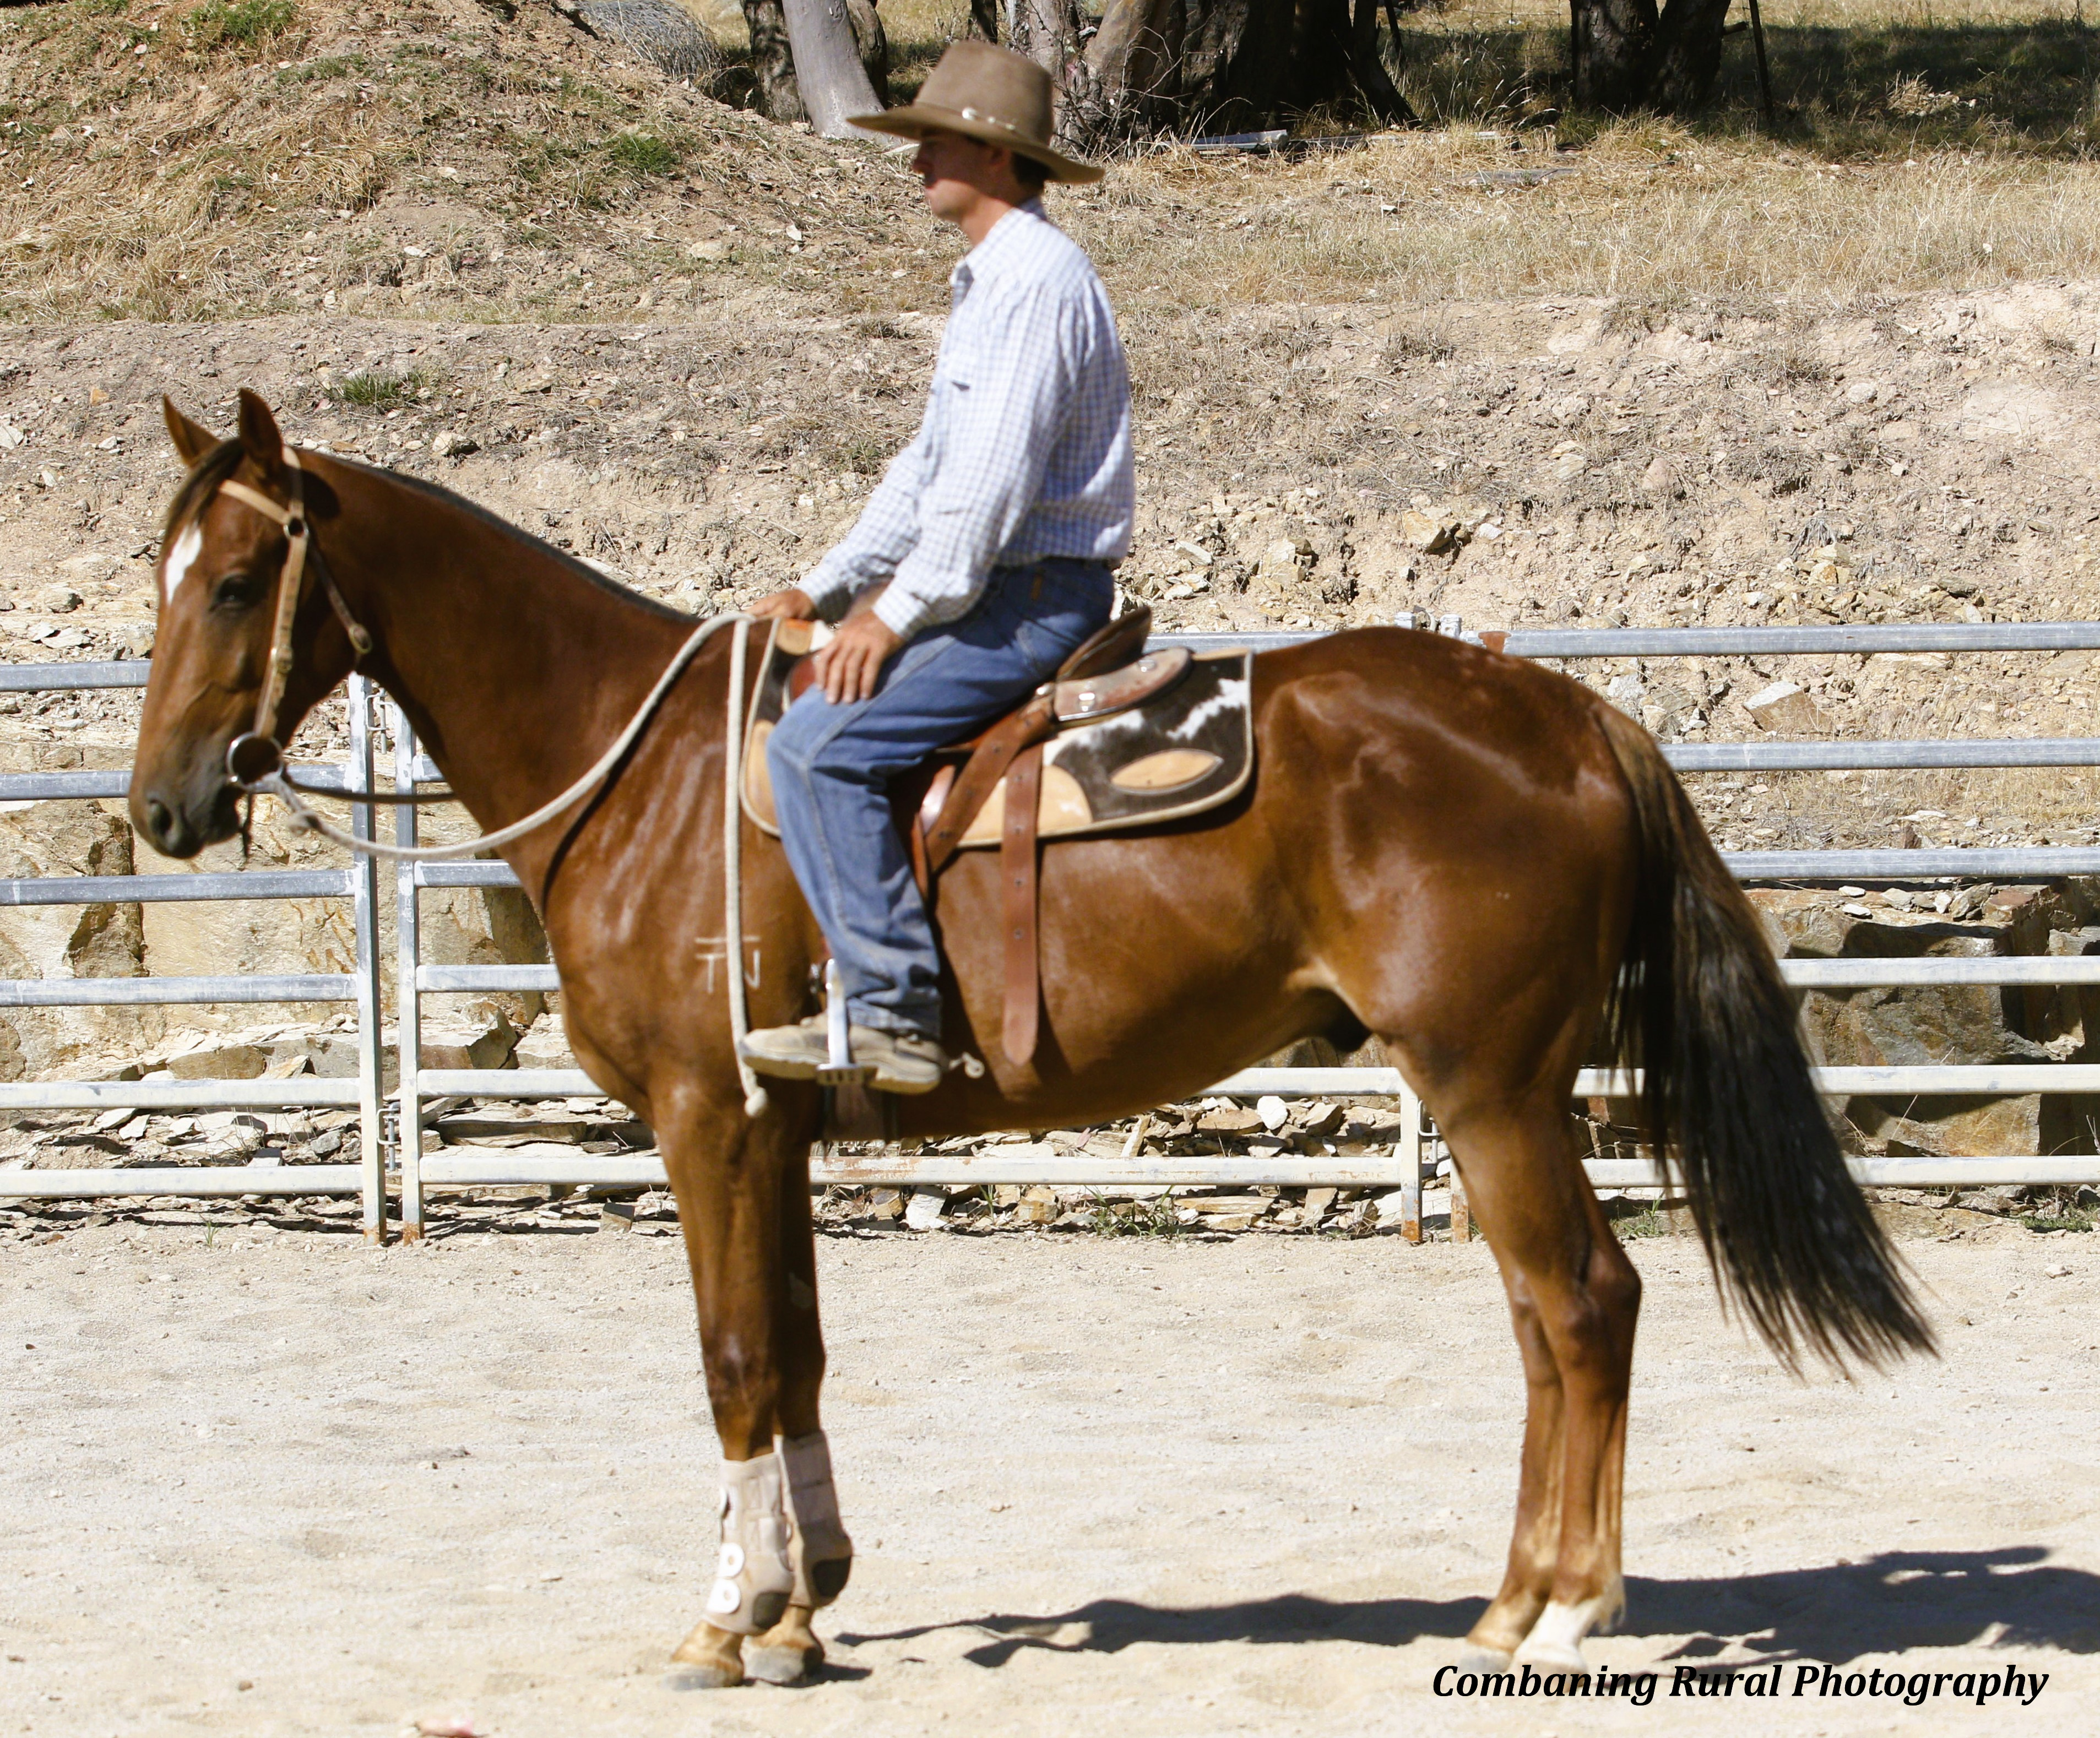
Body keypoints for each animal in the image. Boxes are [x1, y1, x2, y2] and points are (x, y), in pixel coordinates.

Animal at [129, 389, 1932, 1689]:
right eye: (163, 578)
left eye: (235, 578)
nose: (161, 807)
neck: (638, 782)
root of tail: (1569, 713)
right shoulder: (777, 1132)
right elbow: (795, 1351)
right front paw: (807, 1605)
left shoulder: (705, 1117)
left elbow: (729, 1359)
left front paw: (727, 1622)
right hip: (1507, 1093)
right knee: (1548, 1317)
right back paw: (1510, 1597)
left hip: (1487, 1087)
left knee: (1578, 1301)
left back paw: (1555, 1612)